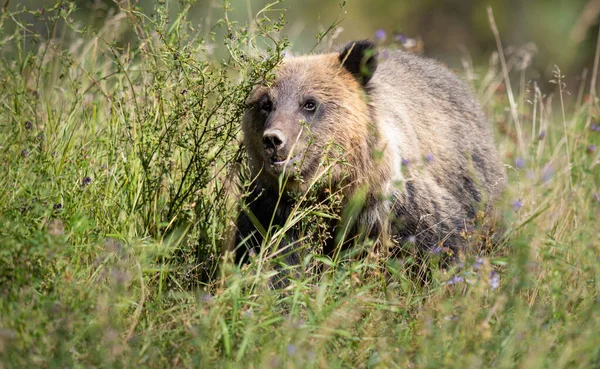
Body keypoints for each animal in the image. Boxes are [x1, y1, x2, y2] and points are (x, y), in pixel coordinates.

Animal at [232, 41, 504, 268]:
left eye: (309, 103)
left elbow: (440, 241)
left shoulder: (396, 203)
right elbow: (272, 254)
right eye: (266, 104)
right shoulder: (273, 209)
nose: (274, 139)